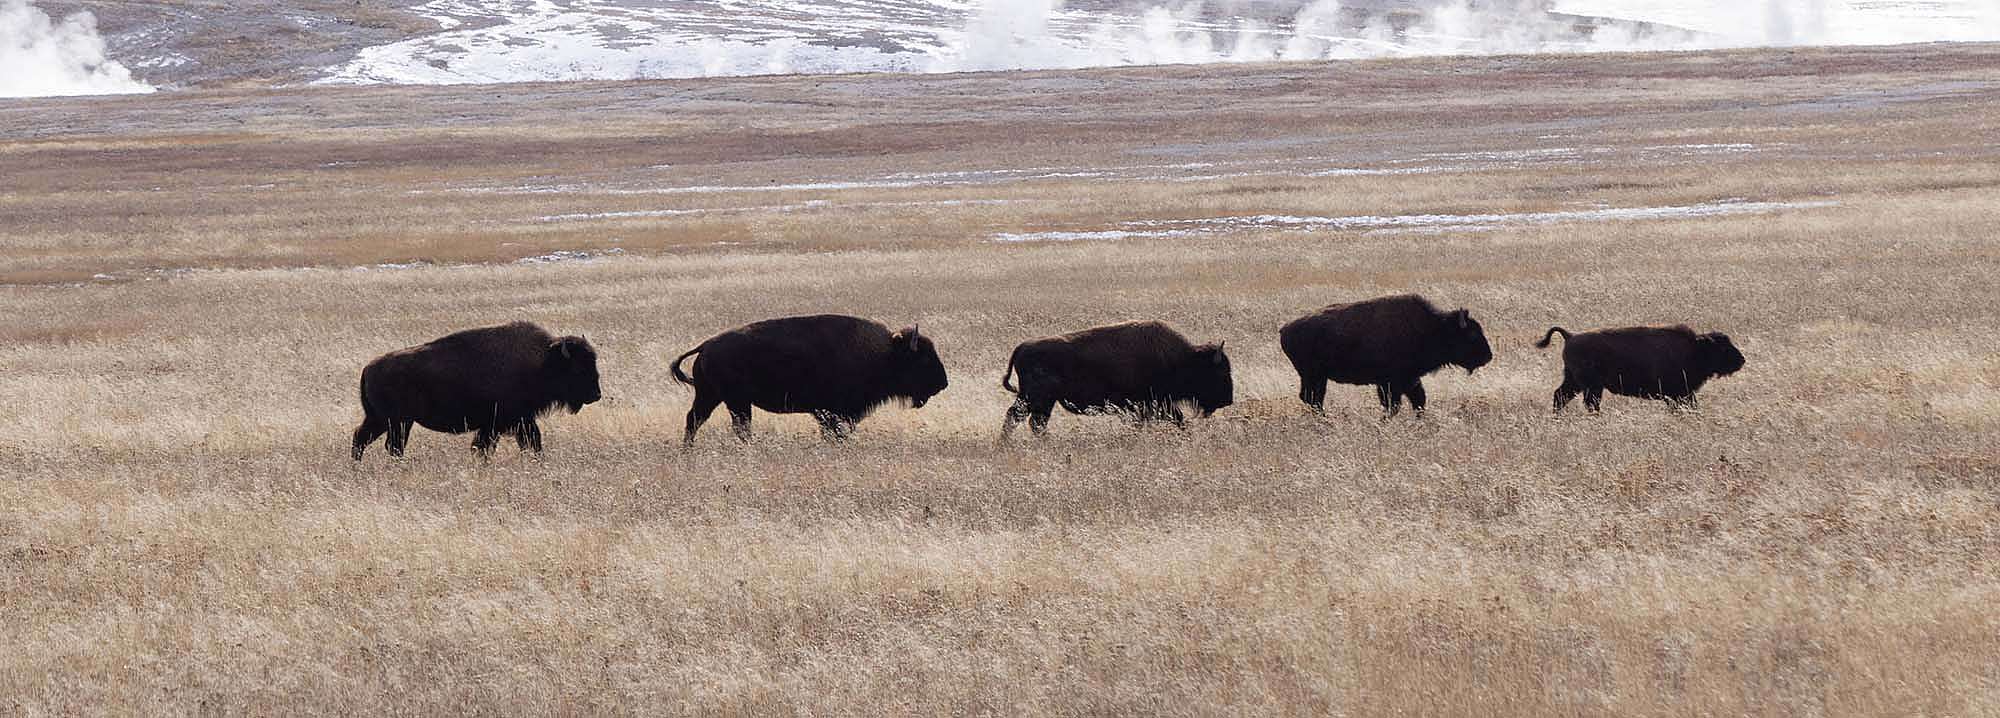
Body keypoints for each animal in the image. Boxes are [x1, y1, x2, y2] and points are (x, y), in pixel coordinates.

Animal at [352, 321, 601, 460]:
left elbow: (531, 441)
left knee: (361, 437)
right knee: (391, 446)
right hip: (398, 422)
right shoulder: (500, 423)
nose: (596, 394)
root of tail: (368, 368)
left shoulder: (520, 421)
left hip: (381, 420)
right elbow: (486, 446)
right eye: (579, 368)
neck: (544, 361)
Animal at [671, 314, 948, 443]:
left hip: (712, 397)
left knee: (695, 420)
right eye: (923, 359)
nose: (943, 383)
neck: (884, 353)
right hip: (734, 402)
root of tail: (706, 345)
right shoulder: (831, 411)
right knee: (736, 427)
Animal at [999, 320, 1232, 436]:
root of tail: (1021, 347)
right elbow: (1177, 418)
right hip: (1036, 399)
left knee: (1029, 421)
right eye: (1220, 372)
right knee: (1023, 419)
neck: (1182, 359)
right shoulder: (1154, 403)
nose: (1228, 400)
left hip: (1040, 401)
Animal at [1280, 294, 1493, 416]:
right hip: (1313, 376)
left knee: (1313, 399)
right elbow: (1394, 405)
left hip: (1317, 377)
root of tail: (1285, 329)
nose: (1488, 356)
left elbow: (1418, 401)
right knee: (1313, 399)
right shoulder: (1391, 382)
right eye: (1472, 335)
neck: (1433, 328)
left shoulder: (1409, 380)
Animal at [1534, 325, 1744, 411]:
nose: (1741, 360)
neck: (1695, 348)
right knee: (1587, 403)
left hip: (1575, 383)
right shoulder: (1679, 394)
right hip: (1590, 387)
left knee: (1560, 396)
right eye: (1723, 348)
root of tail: (1570, 336)